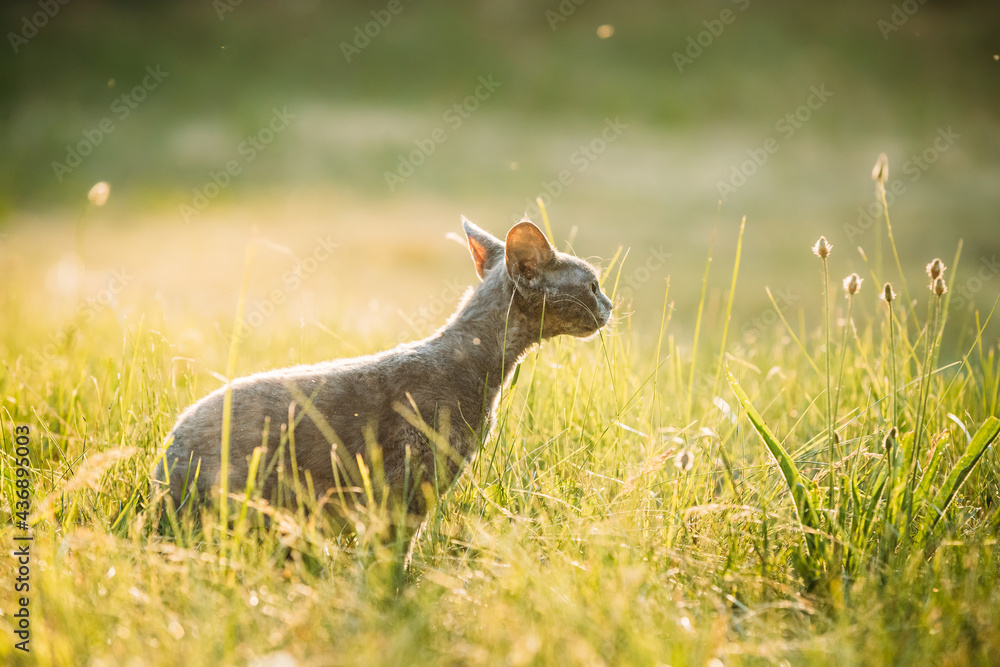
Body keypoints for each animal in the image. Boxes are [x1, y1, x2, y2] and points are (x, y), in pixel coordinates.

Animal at [152, 220, 612, 548]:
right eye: (592, 286)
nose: (610, 304)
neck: (478, 370)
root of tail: (162, 466)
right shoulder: (406, 489)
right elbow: (394, 554)